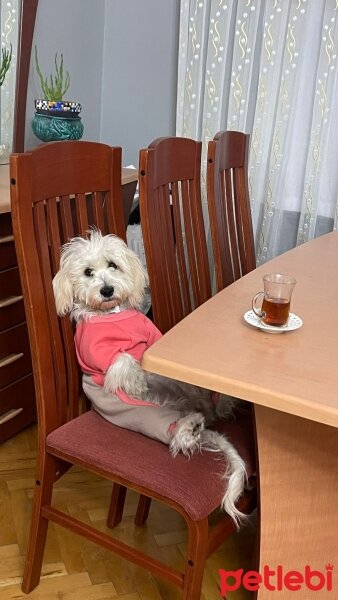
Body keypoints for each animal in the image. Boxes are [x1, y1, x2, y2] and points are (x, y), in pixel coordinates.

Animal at [53, 229, 248, 524]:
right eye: (87, 272)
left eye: (112, 265)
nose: (107, 290)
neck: (111, 315)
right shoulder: (96, 353)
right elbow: (122, 359)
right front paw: (135, 380)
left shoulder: (154, 336)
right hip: (143, 414)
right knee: (176, 433)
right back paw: (189, 427)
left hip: (193, 395)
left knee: (211, 407)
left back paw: (220, 401)